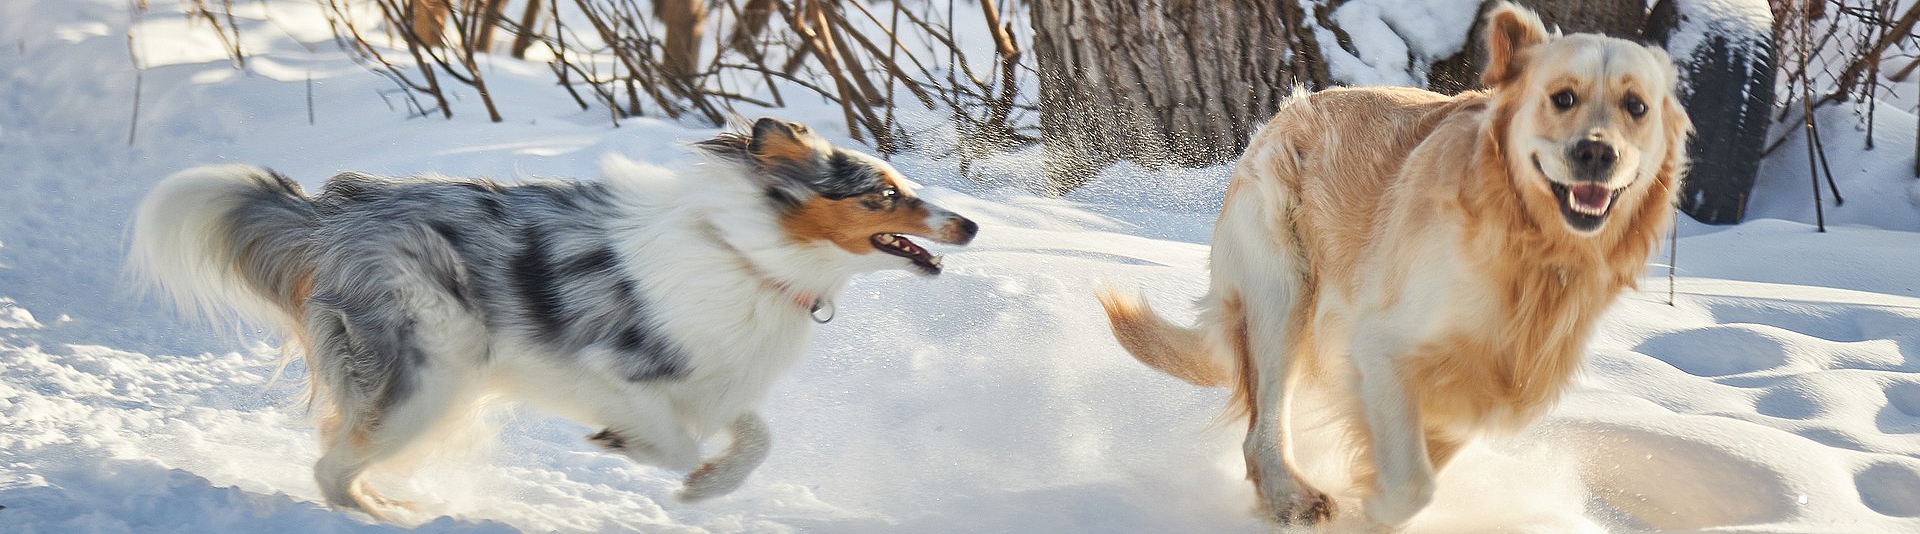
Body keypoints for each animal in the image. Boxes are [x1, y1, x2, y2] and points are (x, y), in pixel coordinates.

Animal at [131, 117, 975, 522]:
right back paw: (387, 516)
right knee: (332, 466)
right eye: (883, 195)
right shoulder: (611, 367)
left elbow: (753, 436)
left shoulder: (716, 377)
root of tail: (333, 211)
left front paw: (710, 485)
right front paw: (645, 456)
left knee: (337, 453)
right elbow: (676, 439)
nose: (968, 225)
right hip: (431, 375)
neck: (748, 253)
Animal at [1105, 4, 1689, 526]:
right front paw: (1370, 507)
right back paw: (1292, 497)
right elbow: (1412, 485)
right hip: (1283, 293)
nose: (1597, 153)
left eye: (1636, 106)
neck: (1530, 251)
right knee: (1261, 431)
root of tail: (1288, 110)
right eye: (1563, 97)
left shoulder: (1482, 385)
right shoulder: (1382, 348)